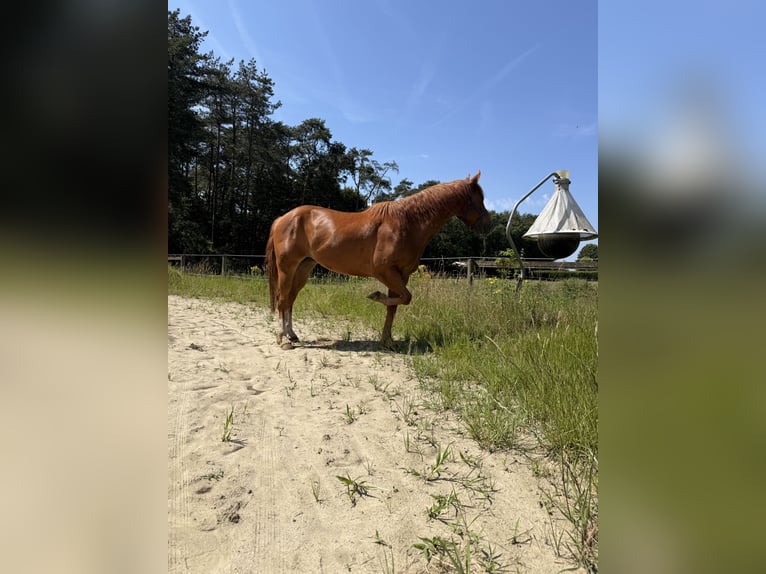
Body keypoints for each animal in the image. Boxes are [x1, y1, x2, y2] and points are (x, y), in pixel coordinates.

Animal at [265, 171, 492, 349]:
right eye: (478, 198)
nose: (488, 226)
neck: (406, 222)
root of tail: (282, 219)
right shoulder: (385, 272)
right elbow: (406, 298)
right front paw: (375, 296)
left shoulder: (401, 275)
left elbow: (395, 305)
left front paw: (387, 341)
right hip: (287, 268)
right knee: (282, 299)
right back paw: (283, 339)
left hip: (303, 267)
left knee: (290, 299)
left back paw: (292, 335)